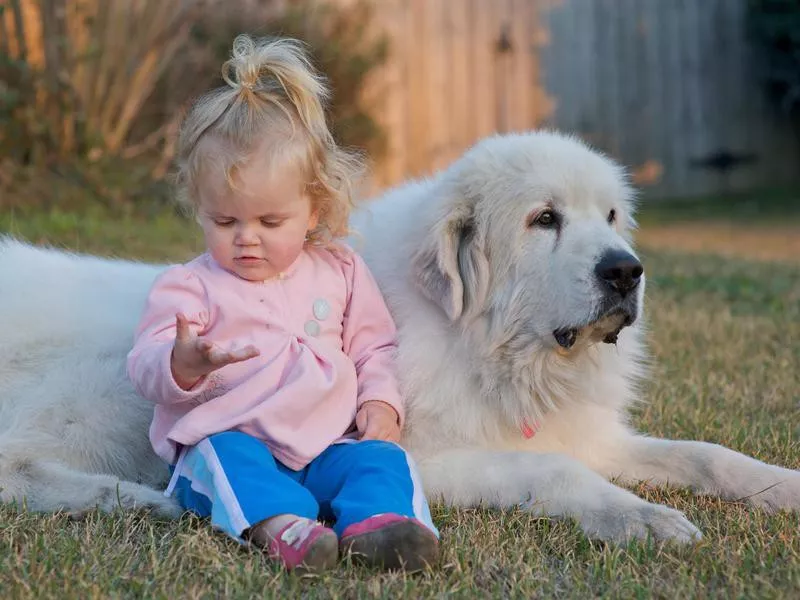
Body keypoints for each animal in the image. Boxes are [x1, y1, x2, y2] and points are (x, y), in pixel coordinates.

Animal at [1, 131, 800, 544]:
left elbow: (707, 455)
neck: (492, 349)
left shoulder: (587, 434)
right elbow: (554, 473)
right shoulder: (430, 455)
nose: (626, 271)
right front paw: (639, 516)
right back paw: (125, 499)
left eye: (609, 217)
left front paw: (781, 487)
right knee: (17, 469)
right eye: (544, 219)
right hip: (108, 386)